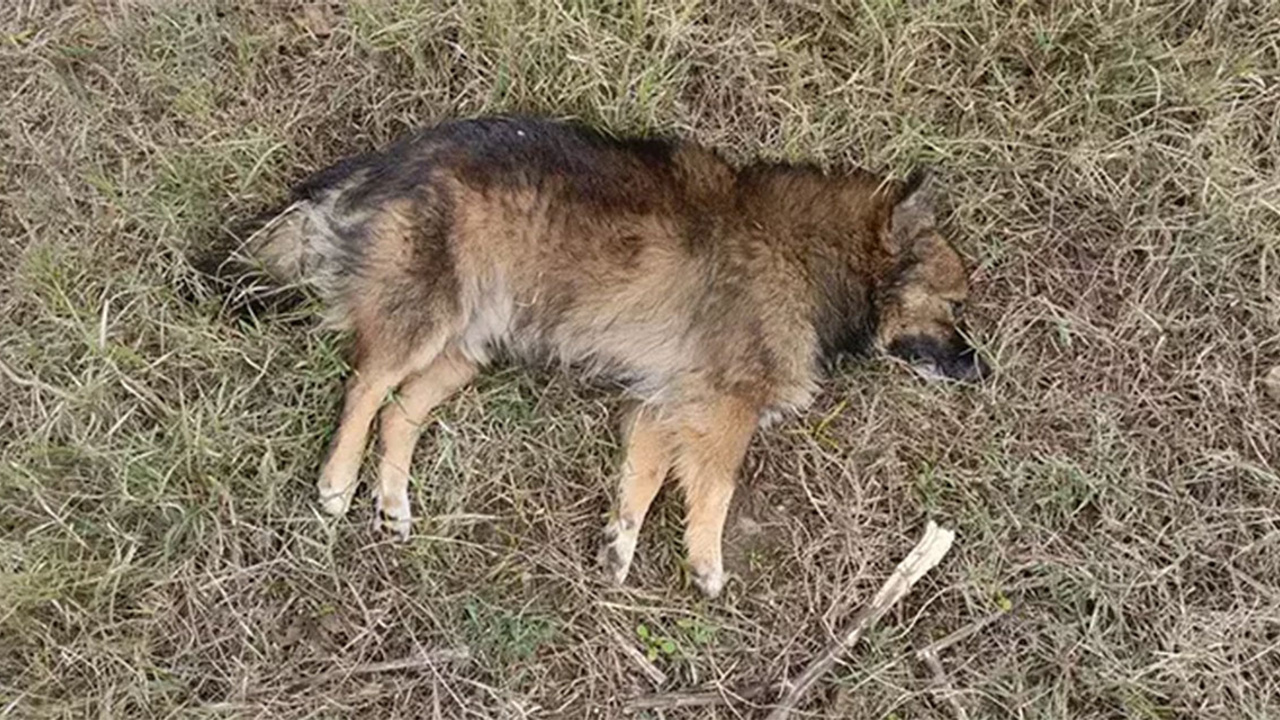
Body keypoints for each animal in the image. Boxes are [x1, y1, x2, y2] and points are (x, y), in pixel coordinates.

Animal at [215, 116, 983, 594]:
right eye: (955, 305)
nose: (981, 367)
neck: (816, 258)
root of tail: (395, 156)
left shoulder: (662, 404)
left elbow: (640, 482)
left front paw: (620, 546)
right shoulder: (722, 408)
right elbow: (716, 488)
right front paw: (705, 562)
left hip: (469, 347)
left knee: (401, 410)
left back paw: (394, 501)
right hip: (425, 319)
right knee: (367, 387)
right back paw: (338, 482)